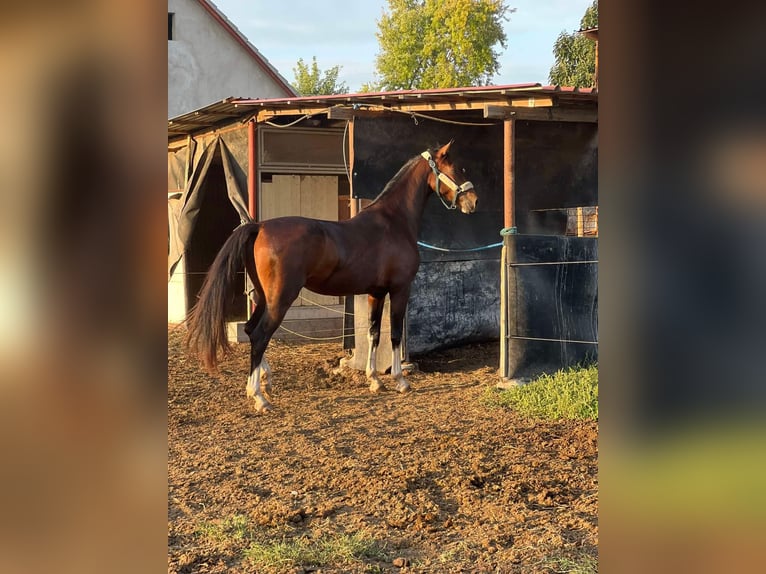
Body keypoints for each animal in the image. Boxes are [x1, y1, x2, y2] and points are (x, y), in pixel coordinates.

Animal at [185, 141, 476, 412]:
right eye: (456, 168)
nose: (473, 201)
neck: (394, 222)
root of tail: (259, 226)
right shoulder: (400, 289)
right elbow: (394, 334)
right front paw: (400, 381)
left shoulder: (376, 292)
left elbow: (373, 334)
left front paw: (374, 380)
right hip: (280, 299)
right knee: (259, 335)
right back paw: (259, 397)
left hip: (264, 297)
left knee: (249, 329)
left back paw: (265, 380)